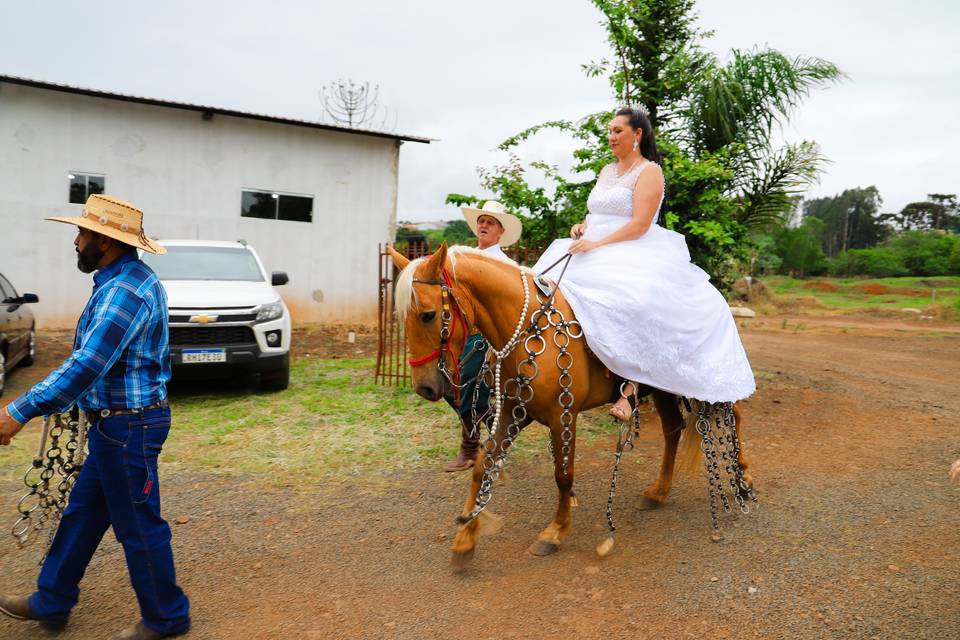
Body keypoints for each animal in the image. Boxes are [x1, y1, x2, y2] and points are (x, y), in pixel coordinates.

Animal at [388, 244, 752, 564]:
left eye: (428, 315)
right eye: (400, 316)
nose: (424, 387)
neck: (528, 328)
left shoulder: (563, 415)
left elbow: (563, 474)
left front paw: (555, 532)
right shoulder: (515, 412)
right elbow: (483, 466)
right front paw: (465, 540)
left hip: (706, 381)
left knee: (734, 414)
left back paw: (744, 482)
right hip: (663, 387)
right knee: (674, 429)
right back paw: (658, 492)